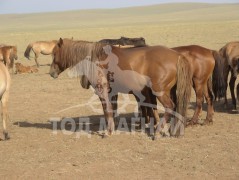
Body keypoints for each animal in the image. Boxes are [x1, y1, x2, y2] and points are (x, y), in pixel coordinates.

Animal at [49, 37, 191, 136]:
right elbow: (112, 110)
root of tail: (177, 55)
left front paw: (108, 132)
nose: (51, 72)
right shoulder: (112, 92)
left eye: (55, 53)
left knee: (170, 107)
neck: (95, 59)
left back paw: (157, 132)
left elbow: (107, 110)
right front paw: (112, 128)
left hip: (160, 91)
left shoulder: (102, 91)